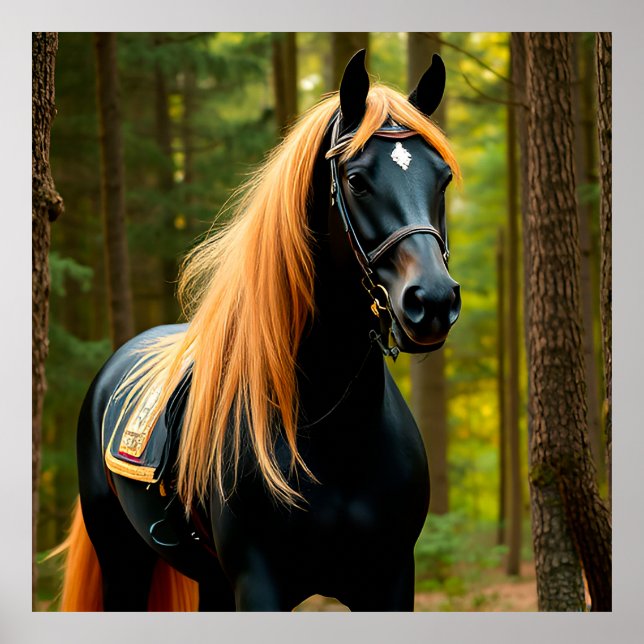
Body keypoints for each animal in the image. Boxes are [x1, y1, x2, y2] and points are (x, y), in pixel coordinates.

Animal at [56, 50, 461, 612]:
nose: (434, 301)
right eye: (357, 180)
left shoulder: (391, 579)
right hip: (123, 560)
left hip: (211, 580)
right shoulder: (259, 581)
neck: (331, 430)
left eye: (442, 179)